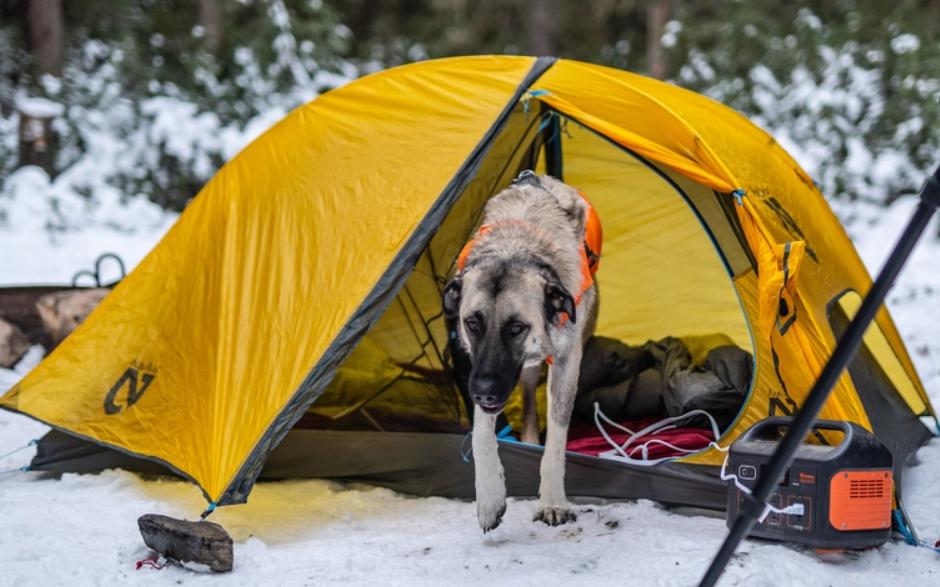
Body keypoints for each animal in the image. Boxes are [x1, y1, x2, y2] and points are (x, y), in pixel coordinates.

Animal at [442, 171, 604, 532]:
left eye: (516, 328)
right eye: (472, 323)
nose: (484, 392)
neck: (513, 247)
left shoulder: (567, 361)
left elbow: (556, 438)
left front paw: (553, 502)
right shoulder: (477, 369)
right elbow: (481, 434)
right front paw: (489, 498)